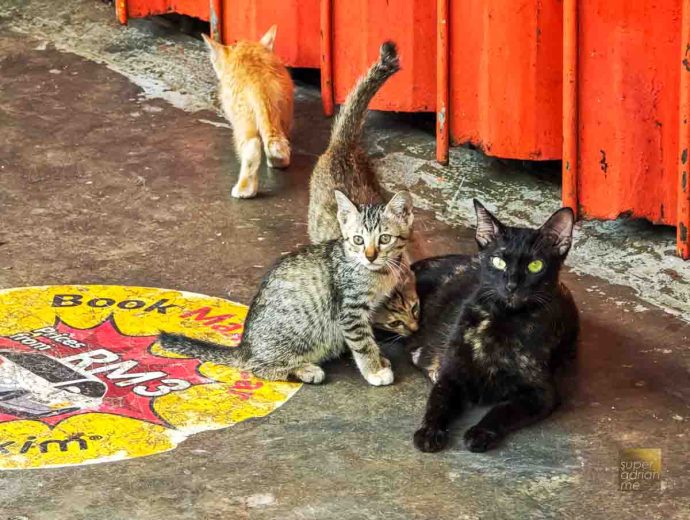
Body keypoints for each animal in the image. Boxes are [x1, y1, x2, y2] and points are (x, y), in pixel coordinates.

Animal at [159, 189, 414, 386]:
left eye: (384, 239)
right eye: (358, 240)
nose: (370, 256)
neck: (376, 272)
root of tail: (245, 346)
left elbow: (369, 336)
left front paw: (379, 359)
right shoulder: (350, 309)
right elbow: (362, 342)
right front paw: (374, 370)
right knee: (256, 367)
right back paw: (304, 370)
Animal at [202, 26, 293, 199]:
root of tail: (257, 80)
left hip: (242, 119)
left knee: (252, 146)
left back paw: (245, 189)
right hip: (282, 109)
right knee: (278, 140)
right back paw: (279, 161)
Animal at [408, 200, 579, 453]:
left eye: (535, 265)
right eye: (498, 261)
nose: (511, 285)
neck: (502, 321)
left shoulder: (542, 393)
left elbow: (504, 410)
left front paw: (480, 432)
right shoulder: (451, 374)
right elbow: (437, 401)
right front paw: (429, 431)